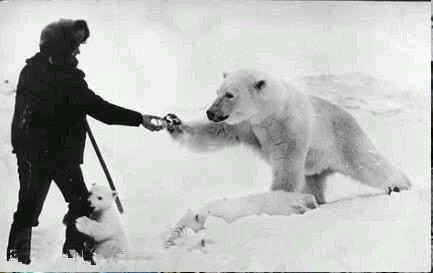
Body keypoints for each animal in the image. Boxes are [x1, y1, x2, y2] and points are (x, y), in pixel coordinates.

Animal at [166, 69, 412, 203]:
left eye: (230, 94)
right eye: (217, 92)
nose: (210, 112)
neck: (272, 112)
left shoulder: (290, 127)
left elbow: (287, 165)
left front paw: (275, 198)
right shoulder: (248, 126)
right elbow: (216, 133)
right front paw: (174, 123)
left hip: (343, 139)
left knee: (368, 164)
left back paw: (401, 185)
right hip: (316, 164)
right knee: (312, 182)